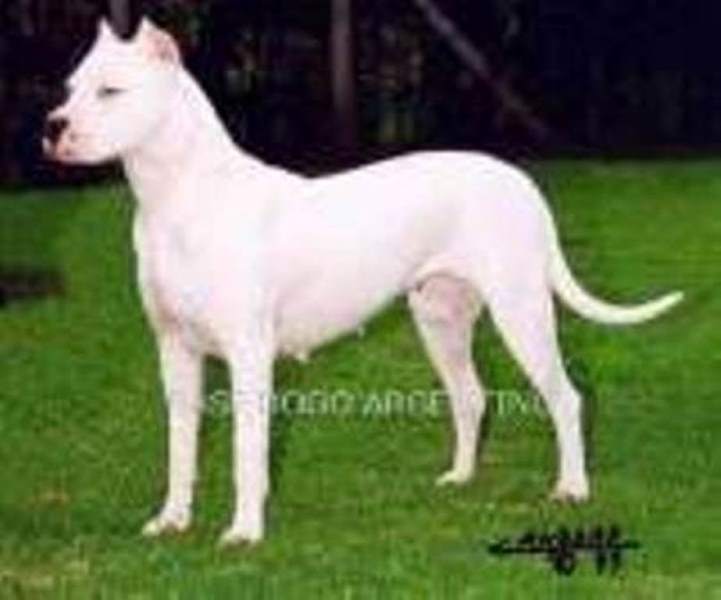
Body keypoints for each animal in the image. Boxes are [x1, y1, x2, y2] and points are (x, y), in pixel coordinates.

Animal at [44, 18, 683, 545]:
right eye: (70, 88)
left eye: (110, 91)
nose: (53, 126)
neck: (177, 198)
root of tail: (519, 180)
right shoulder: (175, 351)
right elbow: (181, 449)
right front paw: (172, 520)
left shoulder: (249, 355)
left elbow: (246, 449)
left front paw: (245, 531)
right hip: (440, 319)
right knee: (472, 397)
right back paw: (461, 476)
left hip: (521, 312)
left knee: (566, 399)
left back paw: (572, 488)